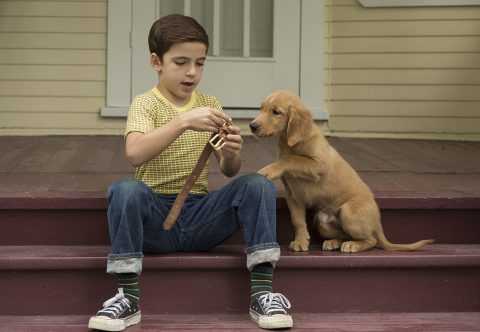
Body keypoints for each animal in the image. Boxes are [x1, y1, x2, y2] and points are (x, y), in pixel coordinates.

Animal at [251, 89, 436, 253]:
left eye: (276, 112)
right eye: (261, 108)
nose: (252, 126)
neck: (290, 144)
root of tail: (377, 223)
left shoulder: (319, 165)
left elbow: (292, 159)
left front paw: (267, 170)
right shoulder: (293, 196)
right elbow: (297, 221)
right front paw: (301, 241)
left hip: (348, 212)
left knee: (371, 240)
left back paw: (353, 246)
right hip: (322, 222)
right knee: (346, 235)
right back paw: (334, 242)